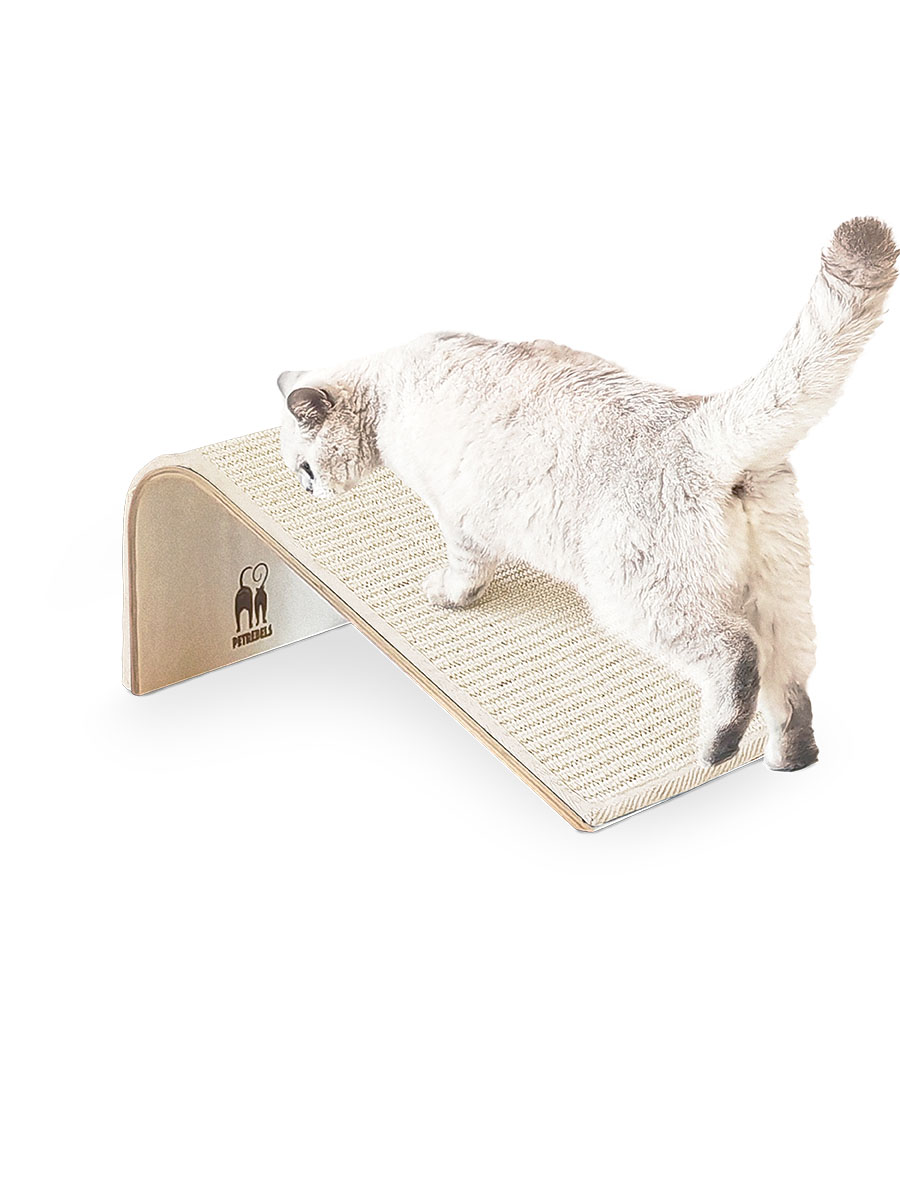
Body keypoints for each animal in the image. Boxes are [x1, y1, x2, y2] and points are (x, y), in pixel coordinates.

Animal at [277, 217, 896, 772]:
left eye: (304, 467)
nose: (308, 490)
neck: (385, 391)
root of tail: (698, 428)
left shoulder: (457, 517)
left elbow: (462, 572)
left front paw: (448, 597)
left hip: (636, 599)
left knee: (737, 657)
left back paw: (715, 750)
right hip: (780, 600)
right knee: (790, 691)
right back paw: (788, 761)